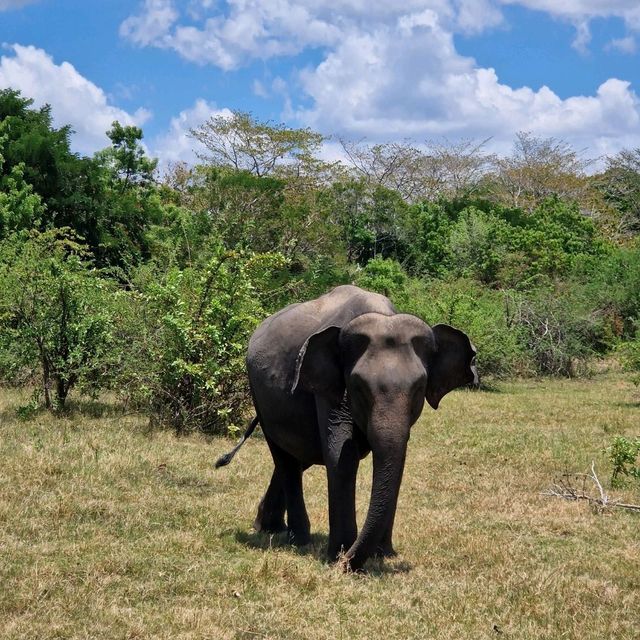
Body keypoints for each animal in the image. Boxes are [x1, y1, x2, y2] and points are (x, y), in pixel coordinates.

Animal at [218, 284, 478, 568]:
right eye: (358, 387)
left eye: (419, 387)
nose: (346, 562)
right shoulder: (329, 385)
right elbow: (341, 455)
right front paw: (339, 554)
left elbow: (396, 459)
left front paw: (382, 554)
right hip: (260, 397)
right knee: (284, 458)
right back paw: (298, 539)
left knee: (297, 458)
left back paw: (268, 527)